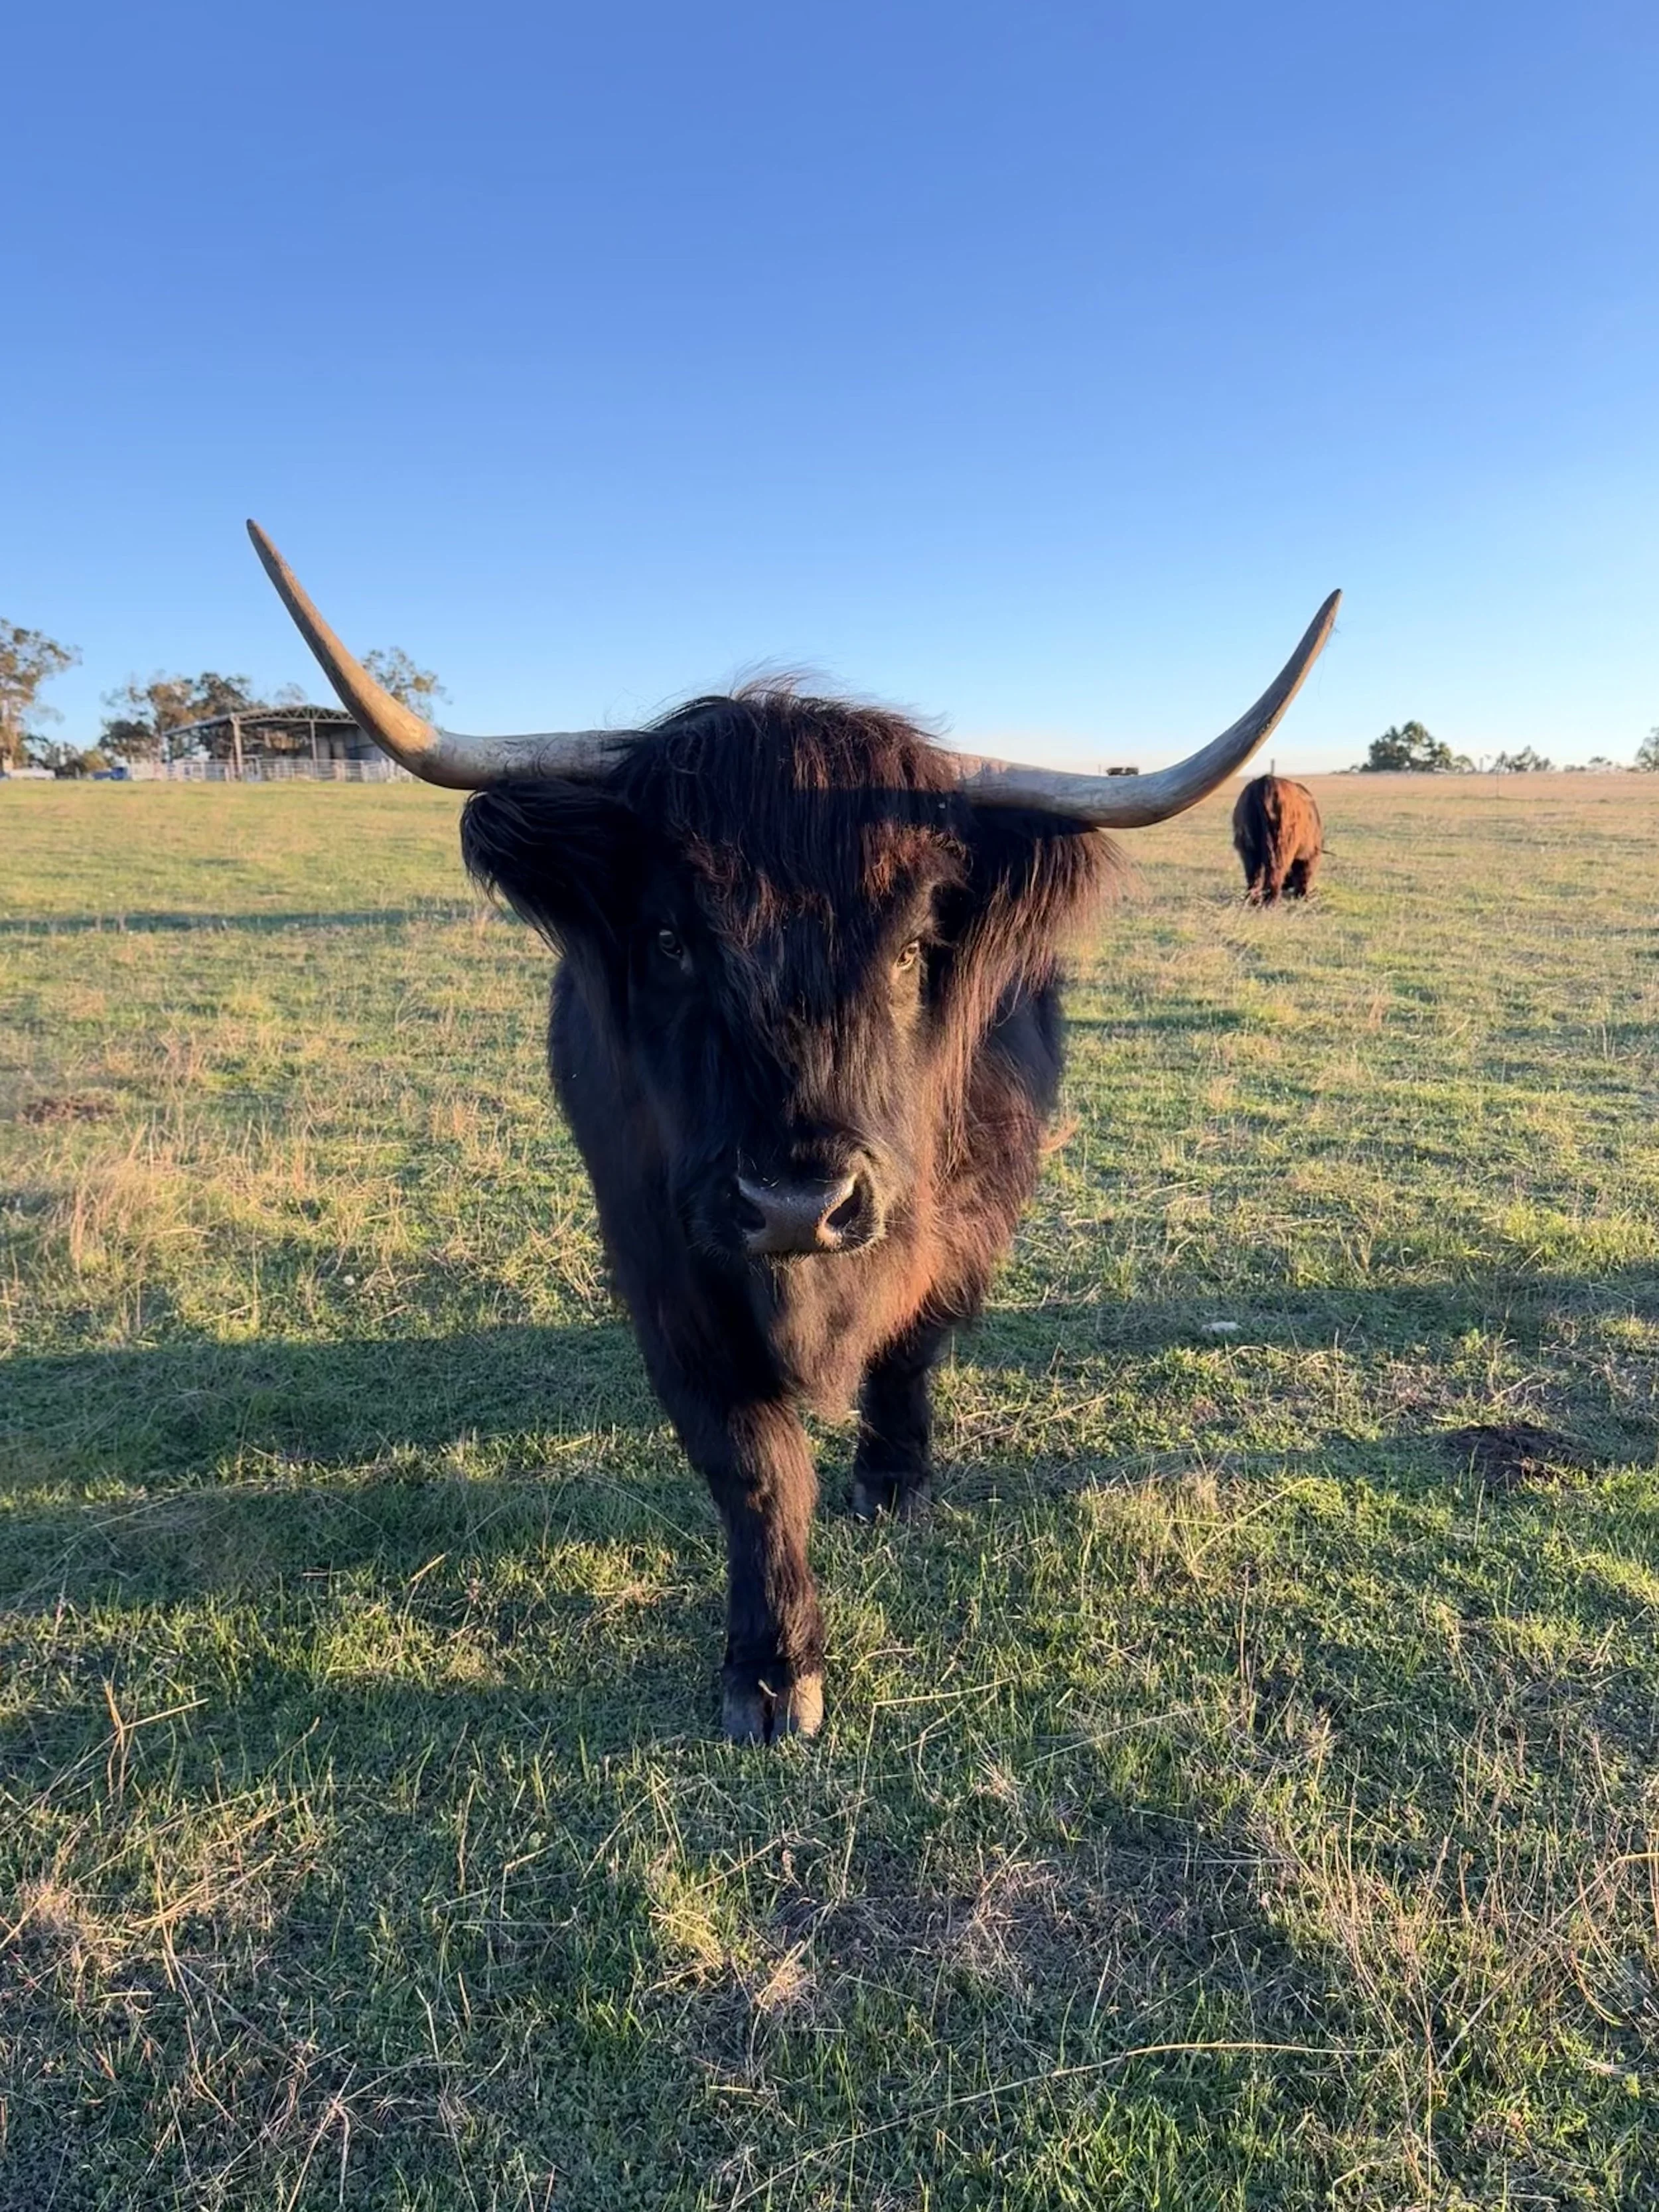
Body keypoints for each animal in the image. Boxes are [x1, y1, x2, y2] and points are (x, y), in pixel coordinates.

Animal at [1232, 773, 1322, 903]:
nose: (1287, 886)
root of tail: (1265, 781)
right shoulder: (1309, 855)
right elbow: (1304, 874)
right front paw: (1302, 895)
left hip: (1248, 848)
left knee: (1254, 875)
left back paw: (1253, 901)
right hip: (1280, 846)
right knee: (1275, 873)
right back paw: (1271, 901)